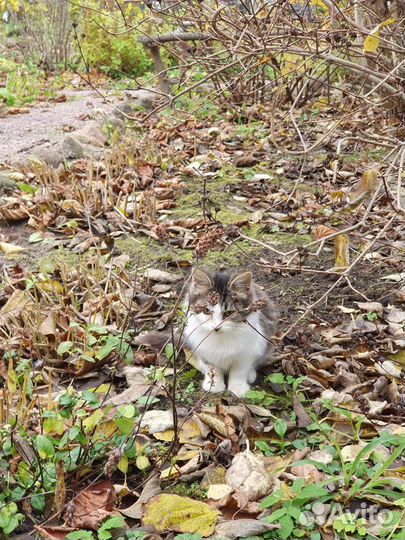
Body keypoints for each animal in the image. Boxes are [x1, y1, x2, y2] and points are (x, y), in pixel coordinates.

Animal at [183, 268, 278, 396]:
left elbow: (239, 371)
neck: (221, 338)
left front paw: (238, 388)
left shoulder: (247, 353)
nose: (216, 327)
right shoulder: (204, 350)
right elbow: (213, 369)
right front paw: (214, 385)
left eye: (228, 313)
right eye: (207, 311)